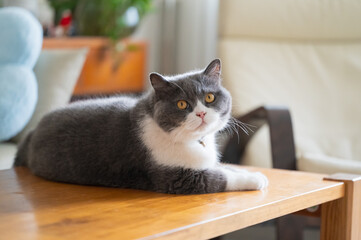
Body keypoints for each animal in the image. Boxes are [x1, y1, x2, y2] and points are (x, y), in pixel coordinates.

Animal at [14, 59, 268, 194]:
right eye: (182, 104)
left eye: (209, 98)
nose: (202, 112)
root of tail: (32, 132)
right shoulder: (176, 177)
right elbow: (220, 177)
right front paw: (255, 180)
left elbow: (226, 168)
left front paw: (250, 172)